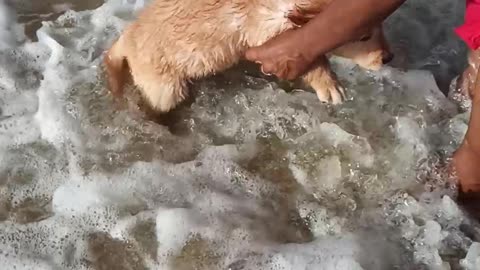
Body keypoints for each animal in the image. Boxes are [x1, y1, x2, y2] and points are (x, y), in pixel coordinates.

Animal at [103, 0, 392, 112]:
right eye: (363, 36)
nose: (388, 58)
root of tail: (126, 37)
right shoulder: (267, 27)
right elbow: (312, 57)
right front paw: (329, 84)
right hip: (163, 85)